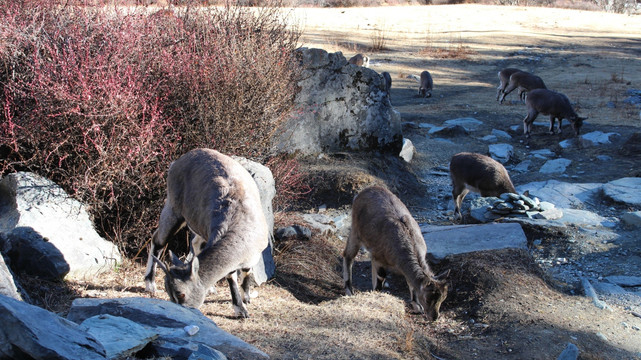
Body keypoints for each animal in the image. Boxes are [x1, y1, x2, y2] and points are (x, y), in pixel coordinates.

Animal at [143, 148, 268, 316]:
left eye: (180, 294)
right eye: (169, 293)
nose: (179, 310)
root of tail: (178, 161)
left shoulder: (254, 253)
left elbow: (246, 271)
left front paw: (246, 297)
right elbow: (231, 275)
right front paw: (240, 309)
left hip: (198, 226)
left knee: (195, 243)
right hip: (174, 209)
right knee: (158, 240)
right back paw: (150, 283)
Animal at [342, 186, 448, 320]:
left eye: (443, 298)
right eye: (428, 299)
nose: (434, 317)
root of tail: (362, 192)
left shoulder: (378, 257)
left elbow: (409, 281)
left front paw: (417, 306)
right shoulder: (379, 257)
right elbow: (381, 277)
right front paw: (376, 295)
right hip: (356, 231)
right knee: (348, 255)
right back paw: (349, 291)